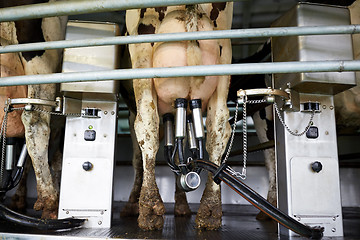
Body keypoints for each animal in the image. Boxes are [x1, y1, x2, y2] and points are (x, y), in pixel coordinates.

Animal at [125, 2, 233, 230]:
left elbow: (139, 156)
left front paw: (132, 205)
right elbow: (178, 152)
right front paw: (182, 205)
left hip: (141, 47)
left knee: (147, 122)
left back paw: (148, 210)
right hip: (225, 52)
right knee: (218, 126)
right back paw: (210, 211)